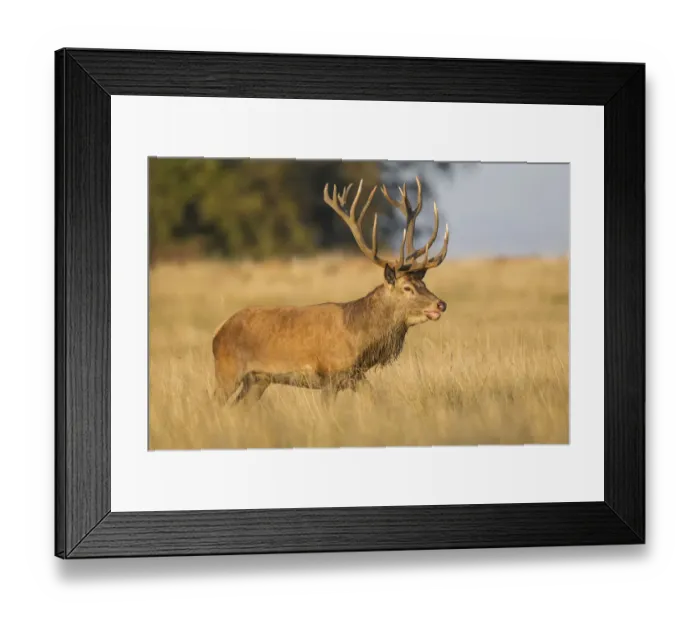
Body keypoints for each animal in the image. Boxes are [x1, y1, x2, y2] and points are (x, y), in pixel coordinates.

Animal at [211, 176, 449, 406]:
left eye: (424, 285)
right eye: (407, 287)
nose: (441, 304)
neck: (359, 338)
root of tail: (218, 333)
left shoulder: (354, 376)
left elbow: (376, 399)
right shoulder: (331, 375)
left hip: (259, 380)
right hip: (228, 370)